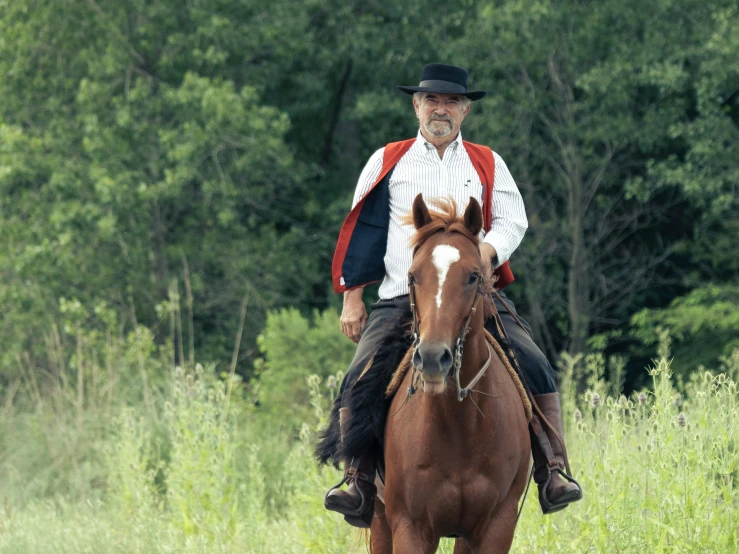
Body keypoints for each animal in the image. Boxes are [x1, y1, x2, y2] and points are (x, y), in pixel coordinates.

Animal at [370, 193, 532, 548]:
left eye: (473, 276)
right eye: (412, 276)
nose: (433, 358)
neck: (461, 426)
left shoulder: (494, 527)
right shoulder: (410, 527)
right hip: (378, 518)